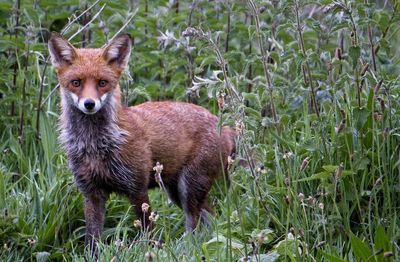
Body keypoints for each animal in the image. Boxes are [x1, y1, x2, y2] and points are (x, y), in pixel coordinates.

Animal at [47, 32, 236, 250]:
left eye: (102, 83)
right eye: (76, 82)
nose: (89, 104)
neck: (96, 145)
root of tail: (223, 125)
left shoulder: (137, 187)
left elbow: (148, 232)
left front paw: (151, 252)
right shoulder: (91, 192)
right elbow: (92, 240)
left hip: (188, 188)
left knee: (195, 223)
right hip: (177, 191)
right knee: (212, 218)